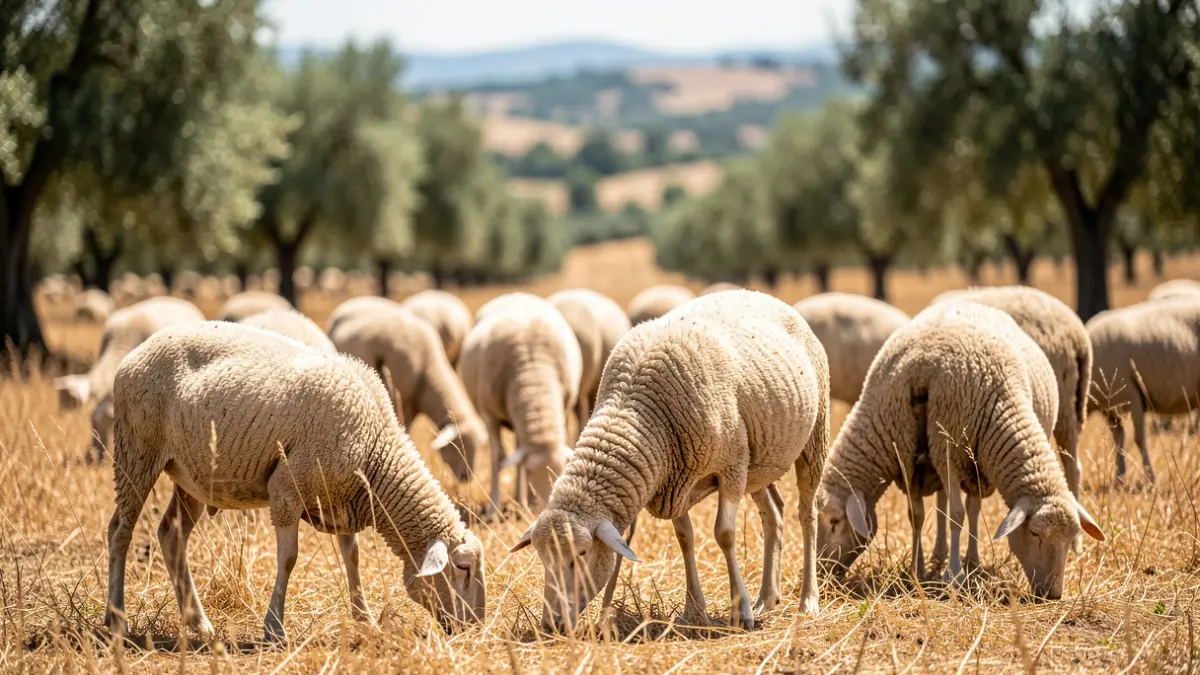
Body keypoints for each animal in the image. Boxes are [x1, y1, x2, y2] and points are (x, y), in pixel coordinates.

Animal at [459, 292, 582, 516]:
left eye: (561, 471)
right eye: (532, 472)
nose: (546, 507)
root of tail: (515, 294)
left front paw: (526, 502)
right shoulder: (489, 416)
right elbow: (497, 458)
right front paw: (493, 509)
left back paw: (522, 500)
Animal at [1086, 298, 1200, 487]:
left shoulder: (1133, 398)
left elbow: (1139, 440)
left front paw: (1150, 479)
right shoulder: (1109, 409)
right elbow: (1118, 440)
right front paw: (1119, 478)